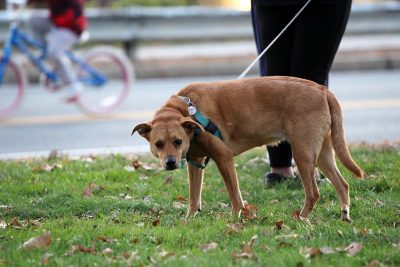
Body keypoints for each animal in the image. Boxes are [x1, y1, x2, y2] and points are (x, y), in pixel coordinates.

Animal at [133, 77, 364, 222]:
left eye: (178, 141)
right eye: (158, 144)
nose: (170, 163)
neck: (186, 112)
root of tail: (322, 90)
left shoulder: (224, 157)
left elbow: (235, 195)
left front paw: (235, 219)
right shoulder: (196, 162)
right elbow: (194, 196)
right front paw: (190, 219)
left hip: (303, 153)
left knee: (314, 192)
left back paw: (301, 218)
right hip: (323, 153)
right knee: (342, 184)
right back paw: (344, 214)